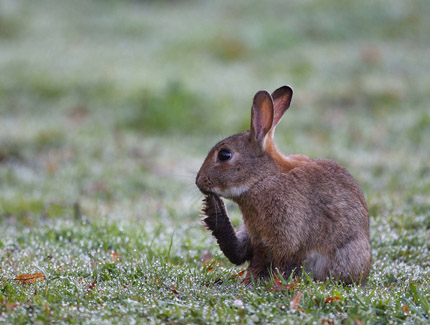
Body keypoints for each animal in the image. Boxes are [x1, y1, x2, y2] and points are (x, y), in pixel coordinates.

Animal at [197, 85, 372, 282]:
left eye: (224, 155)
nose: (199, 181)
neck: (262, 179)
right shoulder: (259, 236)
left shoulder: (285, 234)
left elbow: (280, 260)